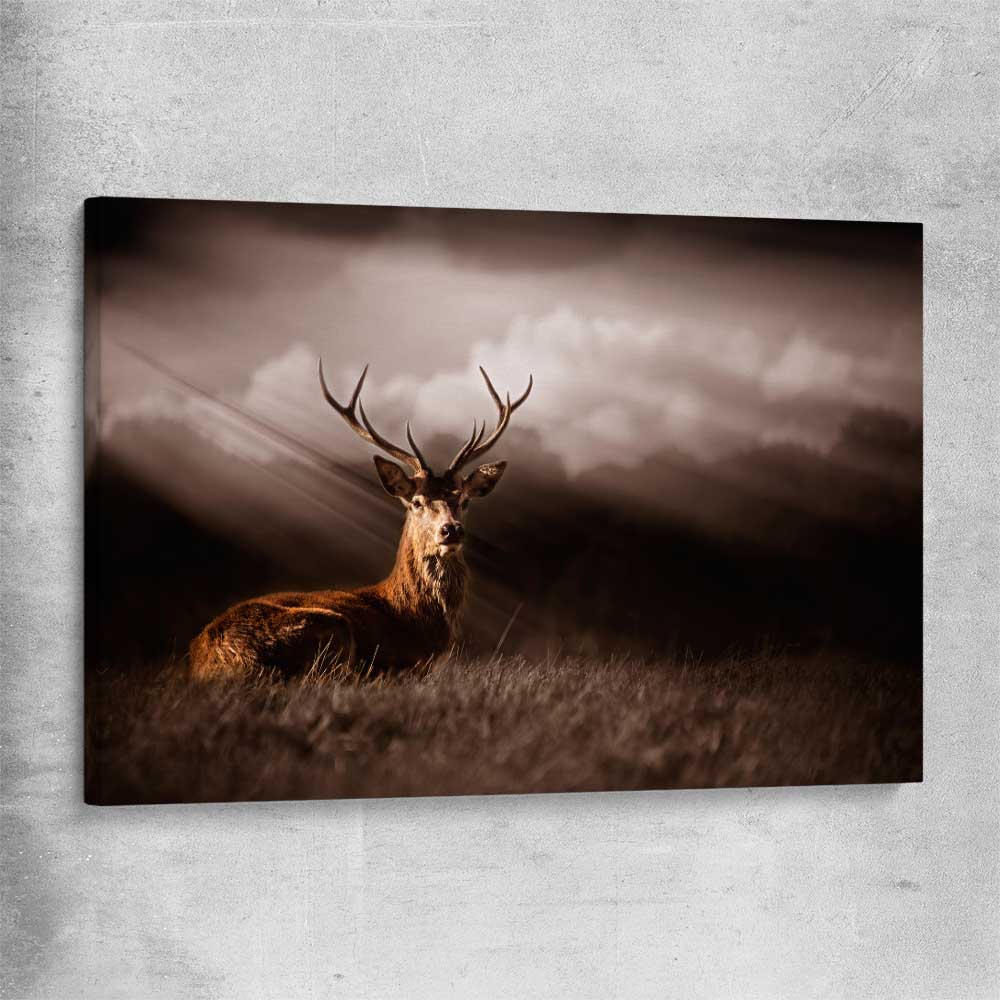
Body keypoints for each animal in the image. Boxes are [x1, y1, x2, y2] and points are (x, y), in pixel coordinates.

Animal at [188, 362, 532, 680]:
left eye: (463, 501)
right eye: (416, 502)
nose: (451, 530)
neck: (414, 618)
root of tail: (211, 659)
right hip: (330, 626)